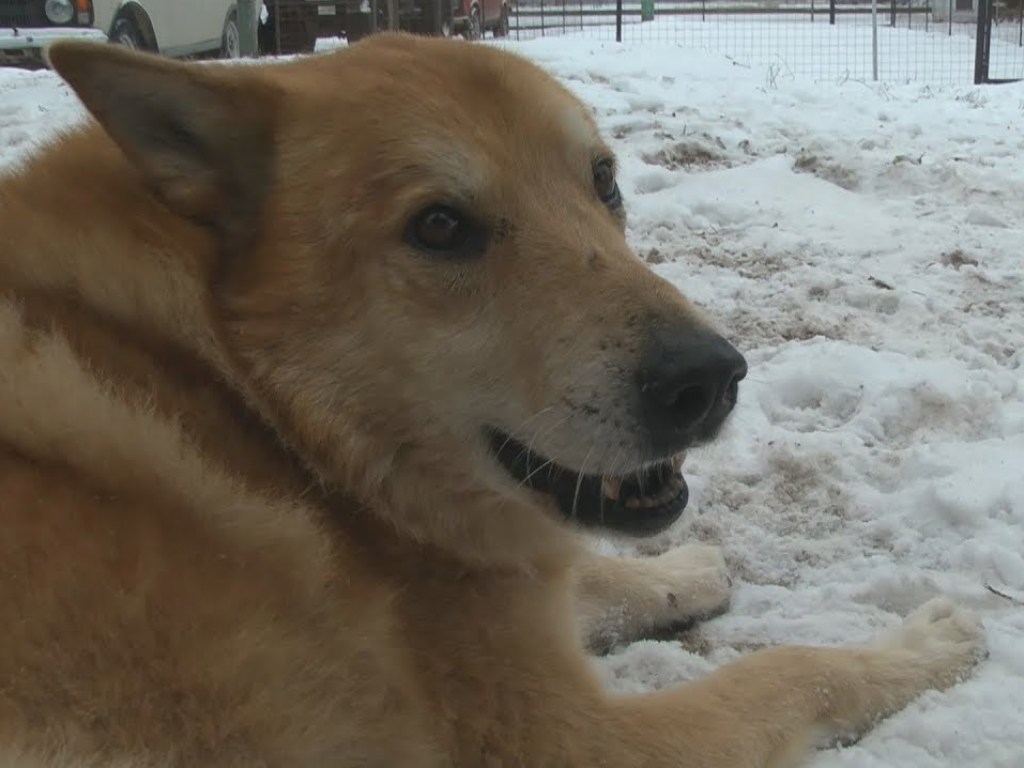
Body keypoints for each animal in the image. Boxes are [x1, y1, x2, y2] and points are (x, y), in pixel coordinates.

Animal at [2, 34, 983, 768]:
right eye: (440, 226)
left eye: (604, 180)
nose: (710, 378)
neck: (258, 411)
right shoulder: (569, 739)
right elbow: (788, 671)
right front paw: (921, 648)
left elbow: (590, 581)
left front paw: (682, 570)